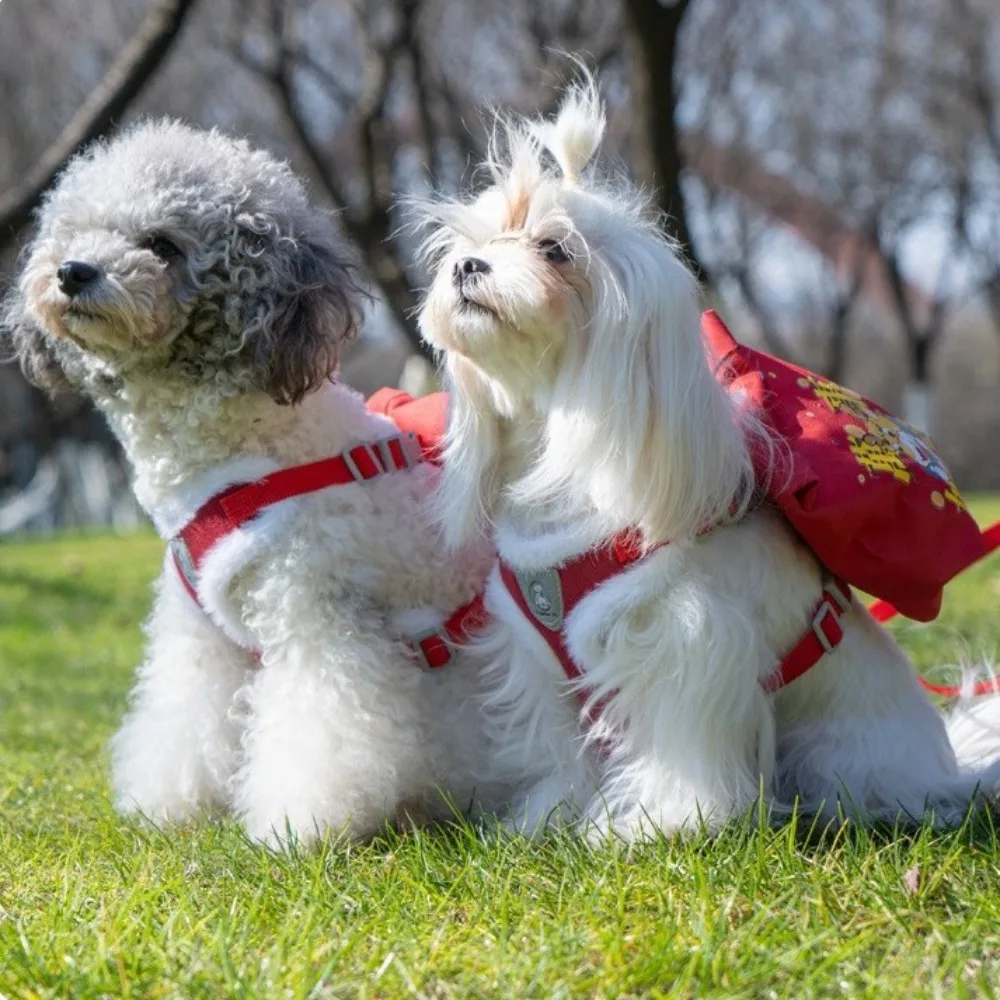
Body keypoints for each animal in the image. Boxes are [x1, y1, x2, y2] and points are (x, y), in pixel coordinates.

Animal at [7, 121, 520, 848]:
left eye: (162, 245)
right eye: (76, 231)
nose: (73, 272)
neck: (245, 450)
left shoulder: (315, 613)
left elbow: (323, 726)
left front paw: (298, 826)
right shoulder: (201, 630)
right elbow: (186, 714)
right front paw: (173, 807)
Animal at [414, 82, 1000, 840]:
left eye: (554, 248)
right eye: (472, 244)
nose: (468, 267)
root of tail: (948, 769)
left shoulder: (690, 640)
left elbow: (679, 748)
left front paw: (656, 825)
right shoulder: (534, 654)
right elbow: (560, 746)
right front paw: (551, 818)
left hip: (837, 754)